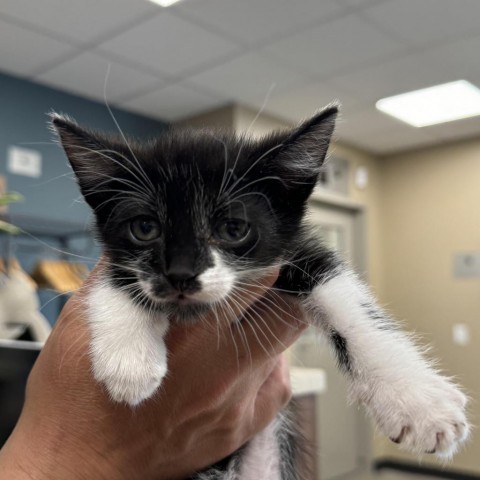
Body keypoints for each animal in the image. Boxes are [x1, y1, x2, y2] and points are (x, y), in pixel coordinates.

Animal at [51, 106, 468, 480]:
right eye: (143, 228)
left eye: (234, 228)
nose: (180, 274)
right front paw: (129, 361)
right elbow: (114, 275)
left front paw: (418, 401)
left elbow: (347, 299)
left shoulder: (297, 251)